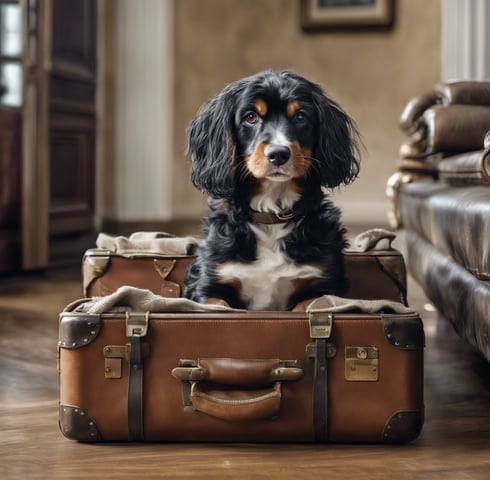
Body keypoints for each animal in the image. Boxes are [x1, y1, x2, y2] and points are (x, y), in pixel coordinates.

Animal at [184, 70, 360, 312]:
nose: (278, 154)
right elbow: (218, 305)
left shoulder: (323, 285)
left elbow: (308, 304)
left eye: (300, 117)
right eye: (250, 117)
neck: (272, 215)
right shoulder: (210, 283)